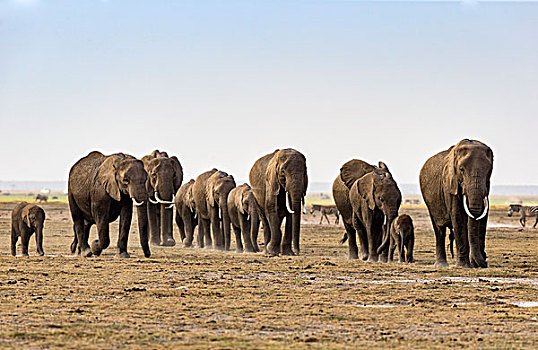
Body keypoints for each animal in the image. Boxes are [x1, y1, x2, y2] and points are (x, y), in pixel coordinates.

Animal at [416, 139, 492, 268]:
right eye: (461, 169)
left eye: (489, 170)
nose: (485, 262)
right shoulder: (450, 184)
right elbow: (458, 217)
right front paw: (464, 266)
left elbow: (483, 219)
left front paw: (476, 263)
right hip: (430, 202)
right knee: (439, 230)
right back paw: (441, 265)